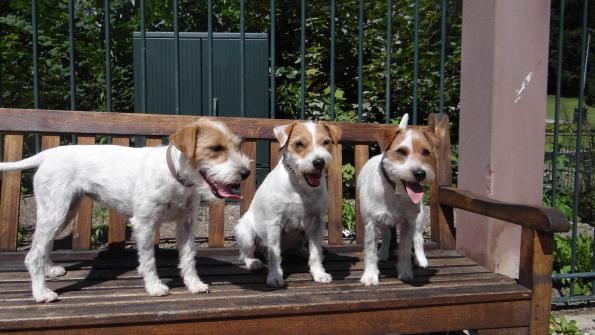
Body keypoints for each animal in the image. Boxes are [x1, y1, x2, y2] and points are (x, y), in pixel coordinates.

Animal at [0, 119, 250, 304]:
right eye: (216, 149)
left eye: (237, 145)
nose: (246, 172)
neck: (174, 177)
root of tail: (48, 154)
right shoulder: (145, 224)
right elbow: (148, 259)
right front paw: (154, 286)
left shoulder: (186, 224)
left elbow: (188, 257)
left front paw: (194, 284)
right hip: (55, 212)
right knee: (33, 254)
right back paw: (41, 293)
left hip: (65, 211)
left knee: (44, 245)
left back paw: (50, 269)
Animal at [235, 122, 342, 288]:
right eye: (299, 144)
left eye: (326, 142)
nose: (319, 162)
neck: (301, 187)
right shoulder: (274, 223)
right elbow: (274, 254)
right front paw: (274, 276)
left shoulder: (317, 222)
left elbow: (315, 252)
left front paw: (319, 273)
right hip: (245, 233)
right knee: (246, 254)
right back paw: (253, 262)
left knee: (299, 248)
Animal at [356, 115, 440, 286]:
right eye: (401, 151)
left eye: (426, 152)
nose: (420, 173)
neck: (396, 192)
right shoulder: (371, 223)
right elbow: (370, 251)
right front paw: (370, 275)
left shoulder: (408, 223)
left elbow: (405, 249)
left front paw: (405, 271)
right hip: (382, 220)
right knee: (387, 234)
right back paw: (383, 252)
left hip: (419, 217)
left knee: (418, 237)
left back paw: (421, 259)